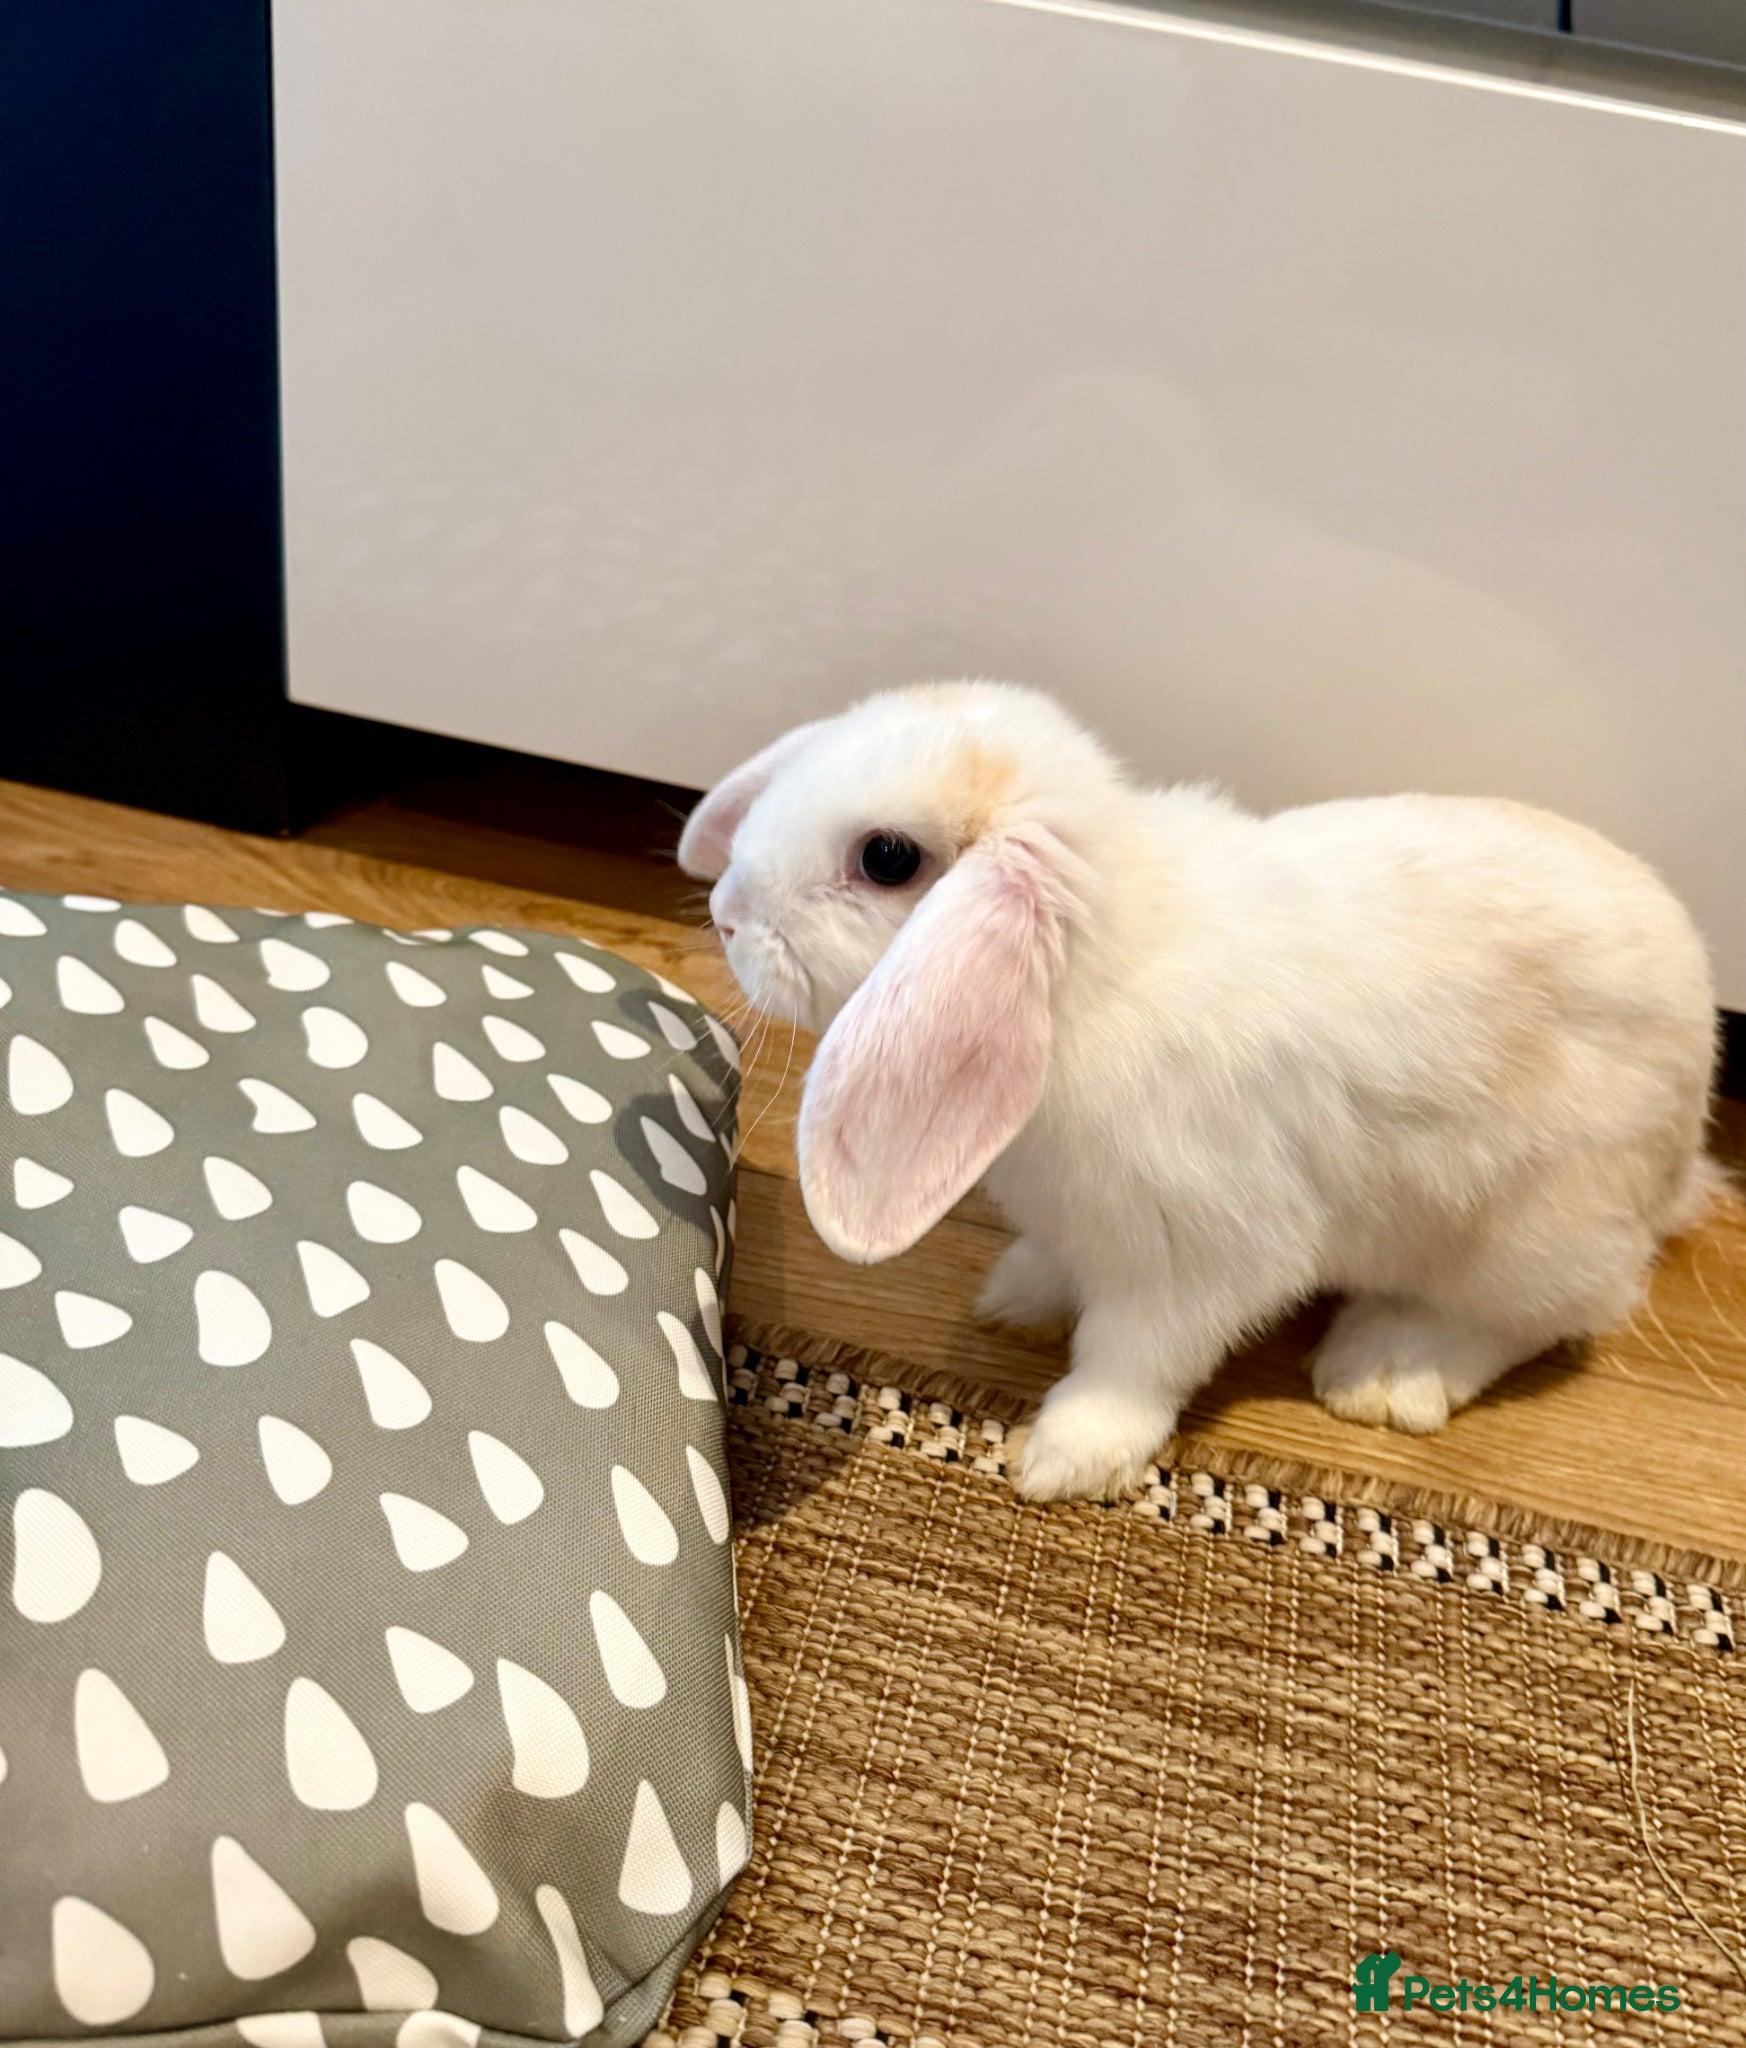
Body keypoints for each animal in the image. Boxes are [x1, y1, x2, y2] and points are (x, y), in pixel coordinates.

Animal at [679, 681, 1720, 1503]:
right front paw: (1016, 1296)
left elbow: (1134, 1358)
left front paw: (1063, 1460)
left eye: (887, 858)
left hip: (1528, 1238)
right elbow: (1060, 1267)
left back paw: (1384, 1372)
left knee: (1548, 1315)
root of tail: (1683, 1145)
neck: (1082, 980)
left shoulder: (1199, 1255)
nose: (726, 914)